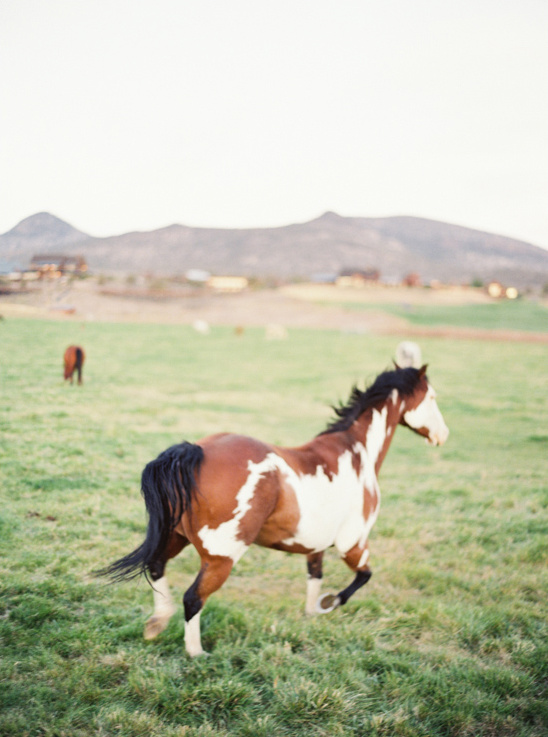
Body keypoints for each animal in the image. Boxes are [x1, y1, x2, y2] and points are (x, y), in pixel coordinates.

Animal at [101, 366, 450, 652]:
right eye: (432, 396)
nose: (442, 435)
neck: (355, 453)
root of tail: (194, 450)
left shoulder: (316, 546)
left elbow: (314, 579)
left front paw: (312, 614)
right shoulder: (352, 544)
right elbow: (362, 577)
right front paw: (329, 603)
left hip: (176, 537)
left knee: (157, 567)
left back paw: (156, 623)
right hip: (220, 559)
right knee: (193, 598)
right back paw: (196, 653)